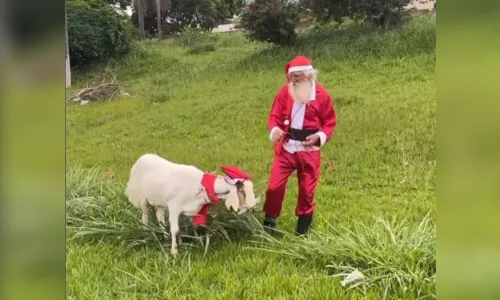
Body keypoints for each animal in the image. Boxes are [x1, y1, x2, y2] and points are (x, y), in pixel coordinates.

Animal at [125, 155, 258, 255]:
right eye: (242, 191)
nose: (253, 208)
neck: (201, 186)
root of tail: (142, 157)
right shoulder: (174, 206)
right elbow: (175, 230)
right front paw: (175, 253)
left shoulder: (193, 210)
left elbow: (193, 227)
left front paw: (194, 241)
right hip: (142, 199)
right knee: (145, 216)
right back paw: (146, 232)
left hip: (160, 202)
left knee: (159, 216)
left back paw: (165, 237)